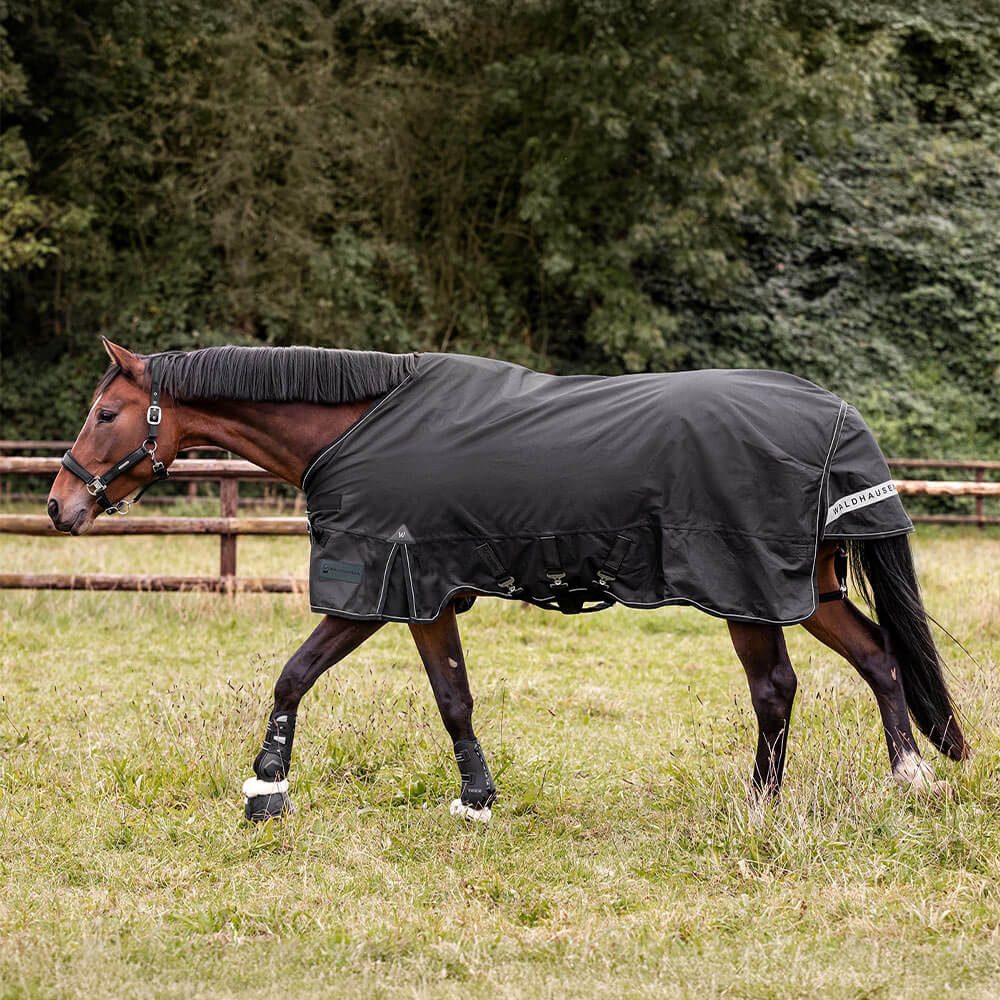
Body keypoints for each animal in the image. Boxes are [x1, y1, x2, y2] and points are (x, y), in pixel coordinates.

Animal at [46, 340, 969, 823]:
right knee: (880, 658)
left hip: (751, 590)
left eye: (104, 413)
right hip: (809, 590)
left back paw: (761, 806)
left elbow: (297, 674)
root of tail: (834, 415)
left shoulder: (384, 590)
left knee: (776, 689)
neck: (357, 428)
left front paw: (266, 788)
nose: (59, 505)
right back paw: (909, 777)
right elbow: (449, 696)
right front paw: (476, 797)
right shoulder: (424, 597)